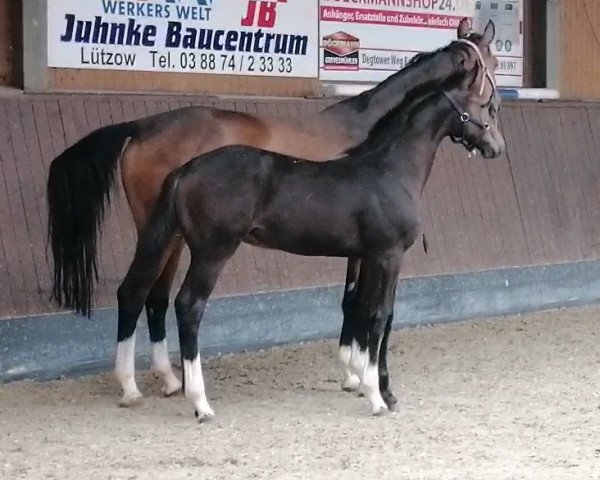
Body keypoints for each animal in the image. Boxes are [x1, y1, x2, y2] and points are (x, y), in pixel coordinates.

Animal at [47, 19, 500, 408]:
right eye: (491, 66)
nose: (497, 145)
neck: (374, 143)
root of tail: (142, 127)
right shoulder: (377, 253)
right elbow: (365, 308)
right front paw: (362, 378)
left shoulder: (363, 250)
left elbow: (355, 303)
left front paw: (355, 373)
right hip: (183, 240)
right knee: (153, 296)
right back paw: (150, 388)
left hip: (164, 234)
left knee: (147, 295)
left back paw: (167, 381)